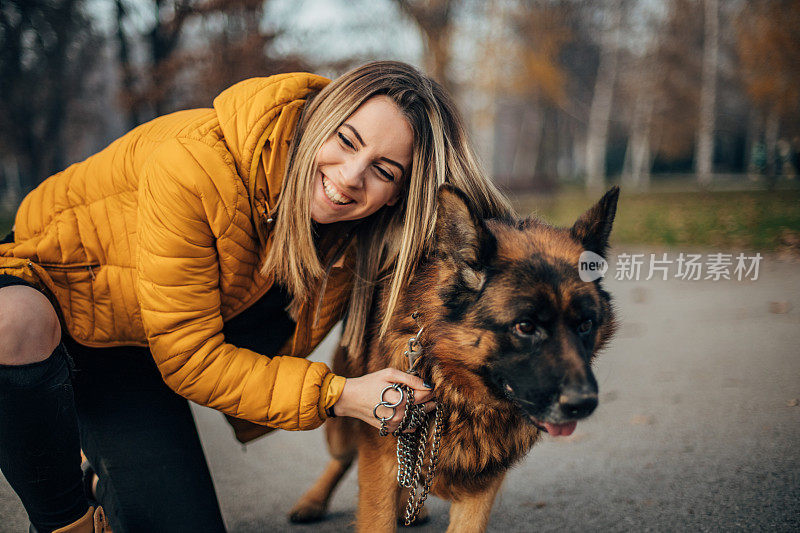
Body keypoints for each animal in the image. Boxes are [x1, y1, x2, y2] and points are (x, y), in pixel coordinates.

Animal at [288, 182, 620, 528]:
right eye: (525, 326)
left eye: (586, 324)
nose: (583, 404)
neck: (451, 386)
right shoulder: (378, 465)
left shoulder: (483, 484)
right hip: (344, 426)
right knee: (341, 458)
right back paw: (313, 501)